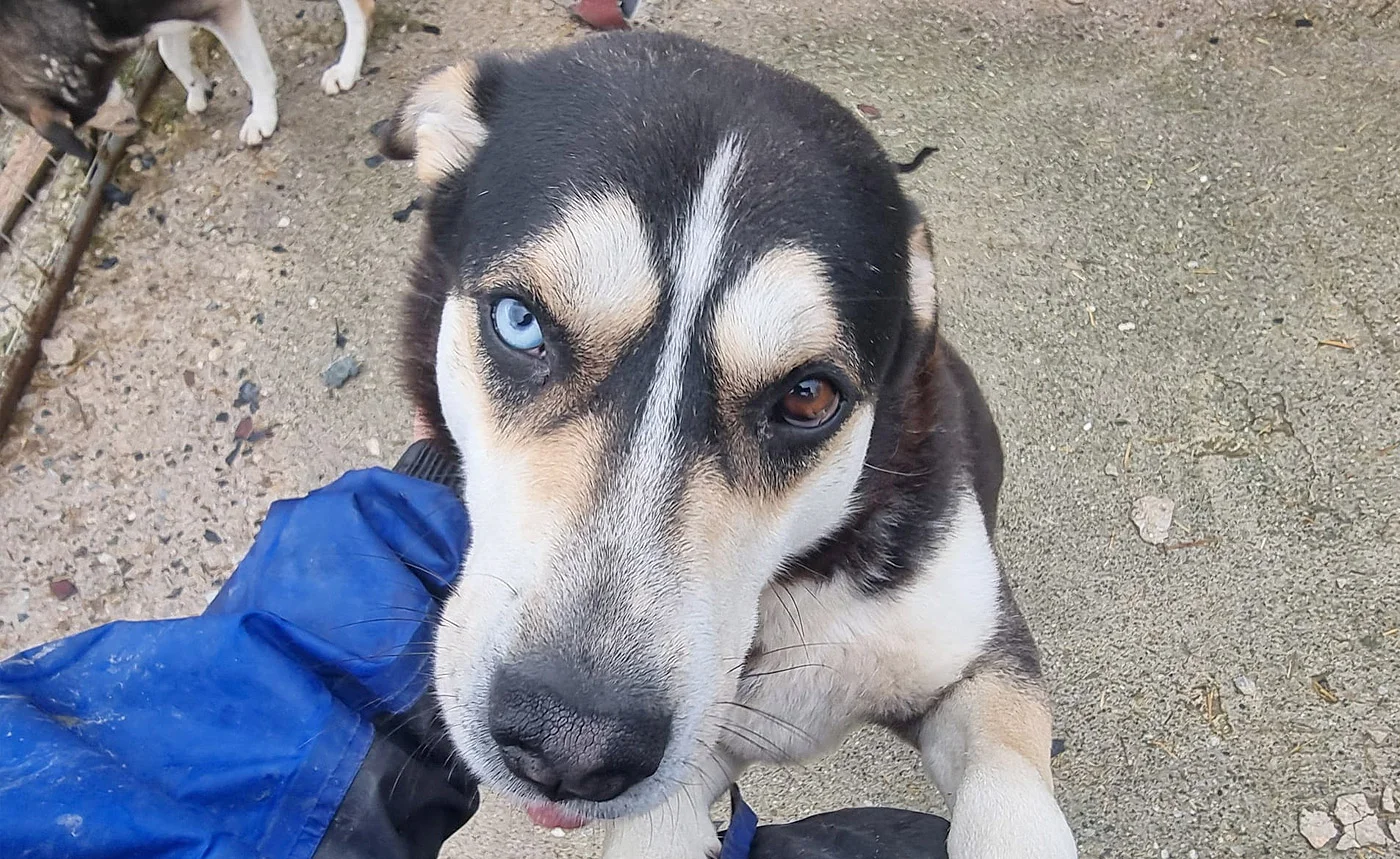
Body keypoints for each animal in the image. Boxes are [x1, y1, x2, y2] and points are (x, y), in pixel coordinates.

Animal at [0, 0, 374, 160]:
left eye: (78, 120)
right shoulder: (165, 17)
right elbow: (169, 53)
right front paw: (197, 89)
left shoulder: (219, 8)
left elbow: (253, 68)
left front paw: (263, 114)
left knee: (361, 8)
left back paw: (347, 65)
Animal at [382, 32, 1078, 859]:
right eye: (520, 322)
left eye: (808, 395)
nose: (571, 745)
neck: (784, 586)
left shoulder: (979, 661)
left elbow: (1011, 789)